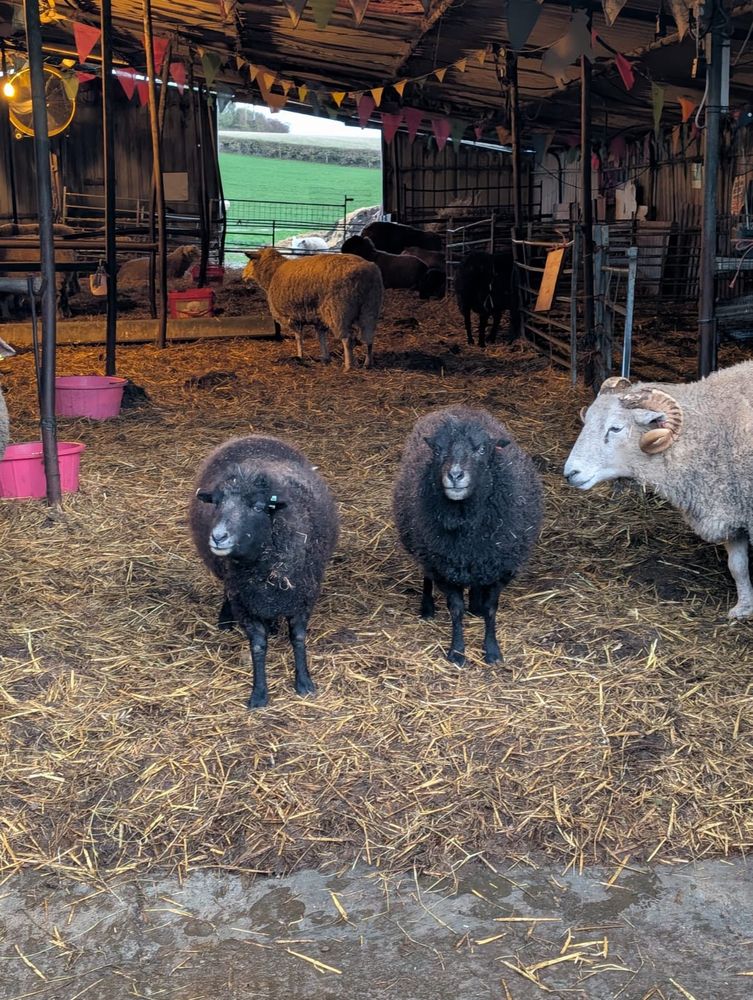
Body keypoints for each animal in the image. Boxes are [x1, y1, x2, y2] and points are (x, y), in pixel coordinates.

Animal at [190, 434, 339, 708]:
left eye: (258, 507)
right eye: (217, 502)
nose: (218, 537)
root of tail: (251, 436)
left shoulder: (303, 596)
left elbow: (298, 638)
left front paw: (304, 683)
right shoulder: (245, 601)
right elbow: (258, 646)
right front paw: (259, 694)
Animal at [243, 247, 383, 372]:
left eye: (250, 260)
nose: (243, 275)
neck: (273, 273)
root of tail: (367, 272)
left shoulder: (292, 316)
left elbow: (299, 338)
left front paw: (300, 356)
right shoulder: (318, 317)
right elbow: (321, 337)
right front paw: (325, 357)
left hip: (339, 311)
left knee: (347, 339)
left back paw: (349, 366)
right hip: (370, 308)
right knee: (369, 337)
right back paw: (368, 363)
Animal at [393, 405, 543, 666]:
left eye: (482, 449)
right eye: (438, 450)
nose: (455, 475)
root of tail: (455, 408)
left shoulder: (499, 566)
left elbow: (492, 609)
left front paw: (492, 650)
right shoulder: (445, 565)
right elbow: (456, 610)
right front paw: (457, 651)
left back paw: (476, 605)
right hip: (425, 548)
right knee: (427, 575)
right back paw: (427, 607)